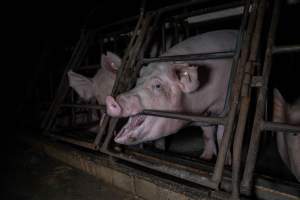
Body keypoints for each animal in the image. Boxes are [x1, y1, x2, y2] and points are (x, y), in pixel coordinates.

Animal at [106, 29, 238, 160]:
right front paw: (205, 157)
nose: (111, 99)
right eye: (138, 81)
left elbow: (222, 135)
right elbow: (207, 134)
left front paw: (222, 161)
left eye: (157, 85)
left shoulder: (224, 111)